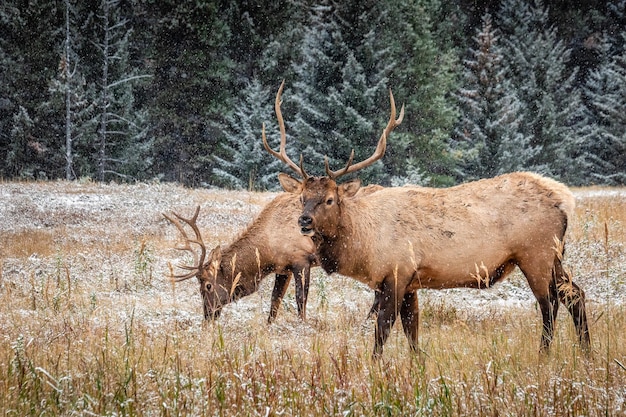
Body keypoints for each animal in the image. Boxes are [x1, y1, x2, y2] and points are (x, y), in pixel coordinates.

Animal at [266, 81, 588, 358]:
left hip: (535, 253)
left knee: (550, 304)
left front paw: (375, 366)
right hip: (554, 255)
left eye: (330, 199)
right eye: (302, 197)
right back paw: (586, 351)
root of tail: (565, 199)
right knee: (575, 293)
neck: (363, 246)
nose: (304, 221)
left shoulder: (397, 272)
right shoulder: (411, 283)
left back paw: (544, 354)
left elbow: (382, 329)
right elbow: (413, 333)